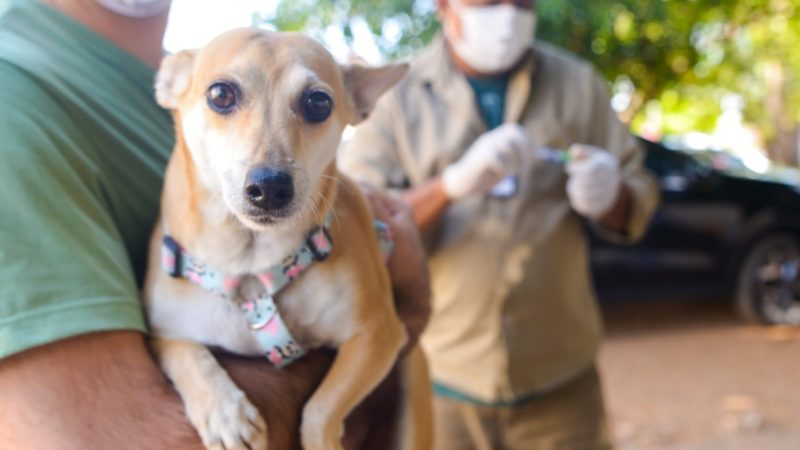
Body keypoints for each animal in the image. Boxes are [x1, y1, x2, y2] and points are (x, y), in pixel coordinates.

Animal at [142, 29, 432, 450]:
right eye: (220, 94)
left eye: (318, 102)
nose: (270, 187)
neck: (251, 265)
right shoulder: (164, 334)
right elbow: (186, 353)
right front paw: (224, 412)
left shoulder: (376, 334)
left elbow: (321, 408)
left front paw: (320, 440)